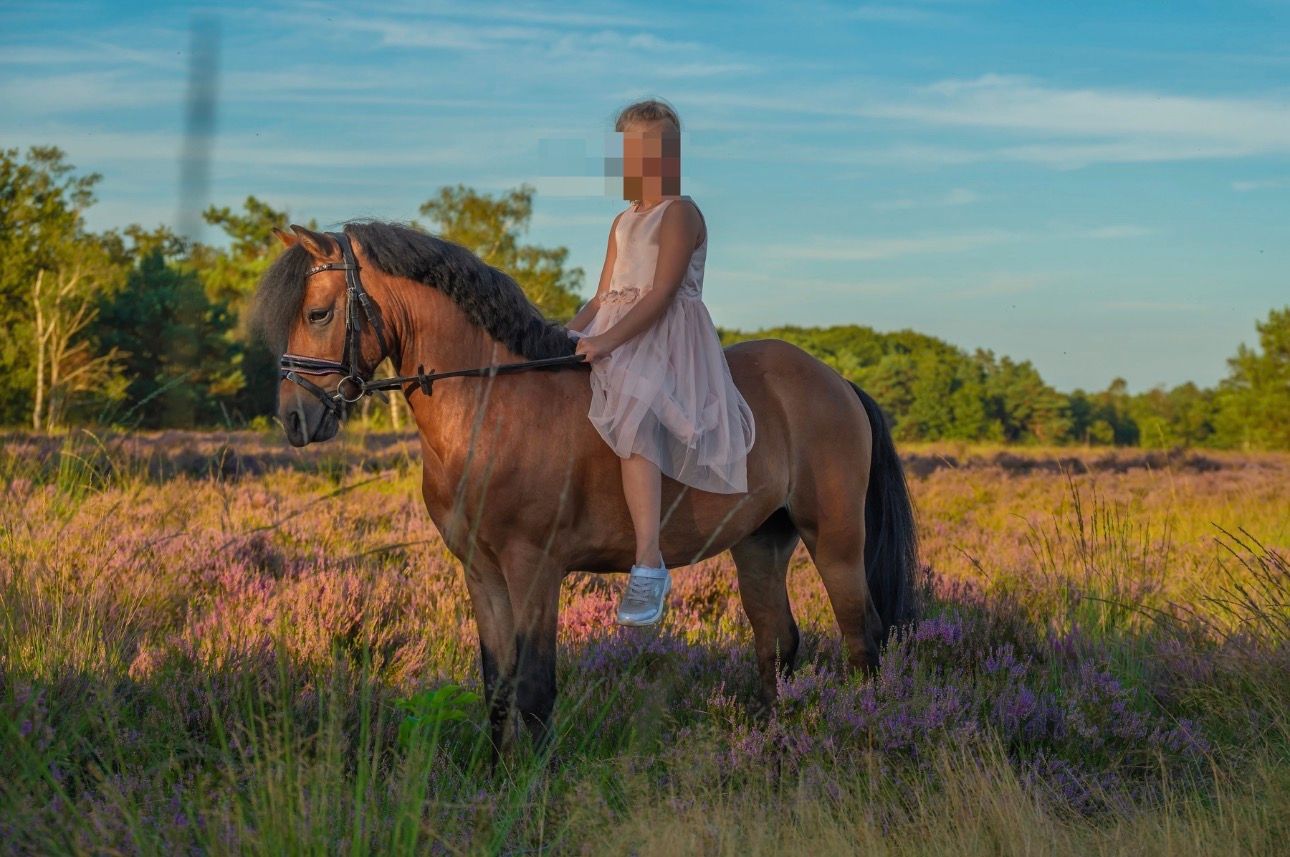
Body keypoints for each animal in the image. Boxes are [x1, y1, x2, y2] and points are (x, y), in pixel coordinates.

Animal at [252, 220, 918, 752]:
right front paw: (496, 775)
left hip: (835, 540)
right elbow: (496, 685)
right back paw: (772, 743)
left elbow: (534, 687)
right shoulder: (482, 572)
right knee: (776, 642)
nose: (294, 419)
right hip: (760, 542)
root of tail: (835, 381)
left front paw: (531, 786)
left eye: (317, 313)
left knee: (863, 639)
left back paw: (865, 732)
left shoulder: (534, 569)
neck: (493, 405)